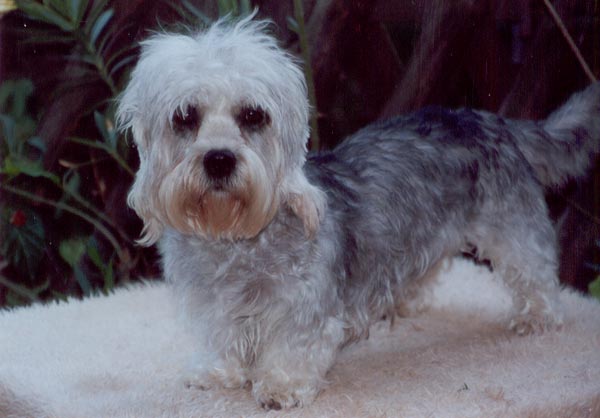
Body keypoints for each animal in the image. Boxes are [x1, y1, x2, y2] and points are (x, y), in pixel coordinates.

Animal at [117, 14, 600, 410]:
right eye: (184, 117)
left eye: (253, 115)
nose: (218, 160)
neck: (237, 241)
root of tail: (487, 119)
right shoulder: (212, 306)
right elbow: (221, 338)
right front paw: (217, 373)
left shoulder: (306, 309)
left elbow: (294, 346)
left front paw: (280, 386)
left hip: (513, 229)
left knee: (535, 270)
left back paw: (536, 316)